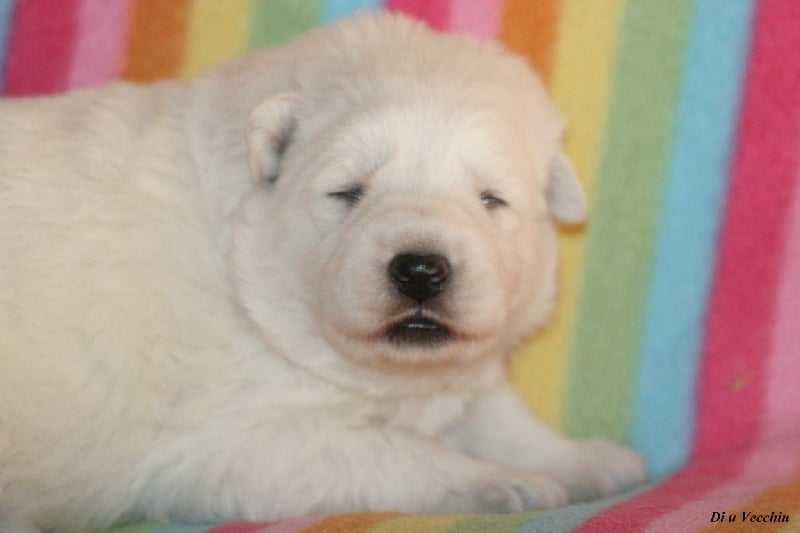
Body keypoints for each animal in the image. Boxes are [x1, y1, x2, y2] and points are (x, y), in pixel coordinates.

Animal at [0, 12, 648, 532]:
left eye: (492, 199)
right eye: (347, 191)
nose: (420, 270)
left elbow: (499, 417)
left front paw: (590, 459)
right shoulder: (227, 444)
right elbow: (387, 452)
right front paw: (505, 483)